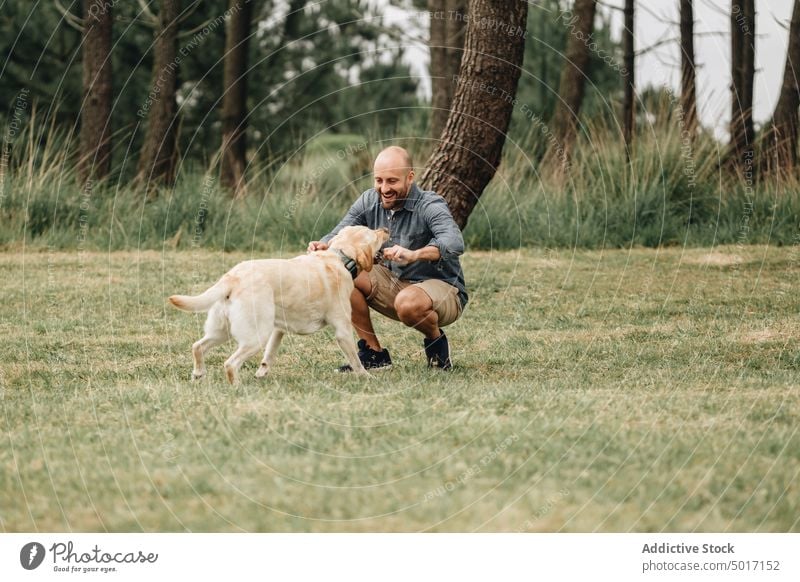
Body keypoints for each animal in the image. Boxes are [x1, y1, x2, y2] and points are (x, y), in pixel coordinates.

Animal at [170, 226, 390, 386]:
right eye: (374, 233)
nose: (386, 228)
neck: (340, 258)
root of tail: (232, 277)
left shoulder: (278, 329)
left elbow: (269, 354)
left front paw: (261, 373)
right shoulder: (342, 330)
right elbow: (356, 360)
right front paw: (366, 377)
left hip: (222, 330)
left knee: (197, 346)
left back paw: (198, 374)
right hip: (255, 336)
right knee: (230, 364)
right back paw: (237, 386)